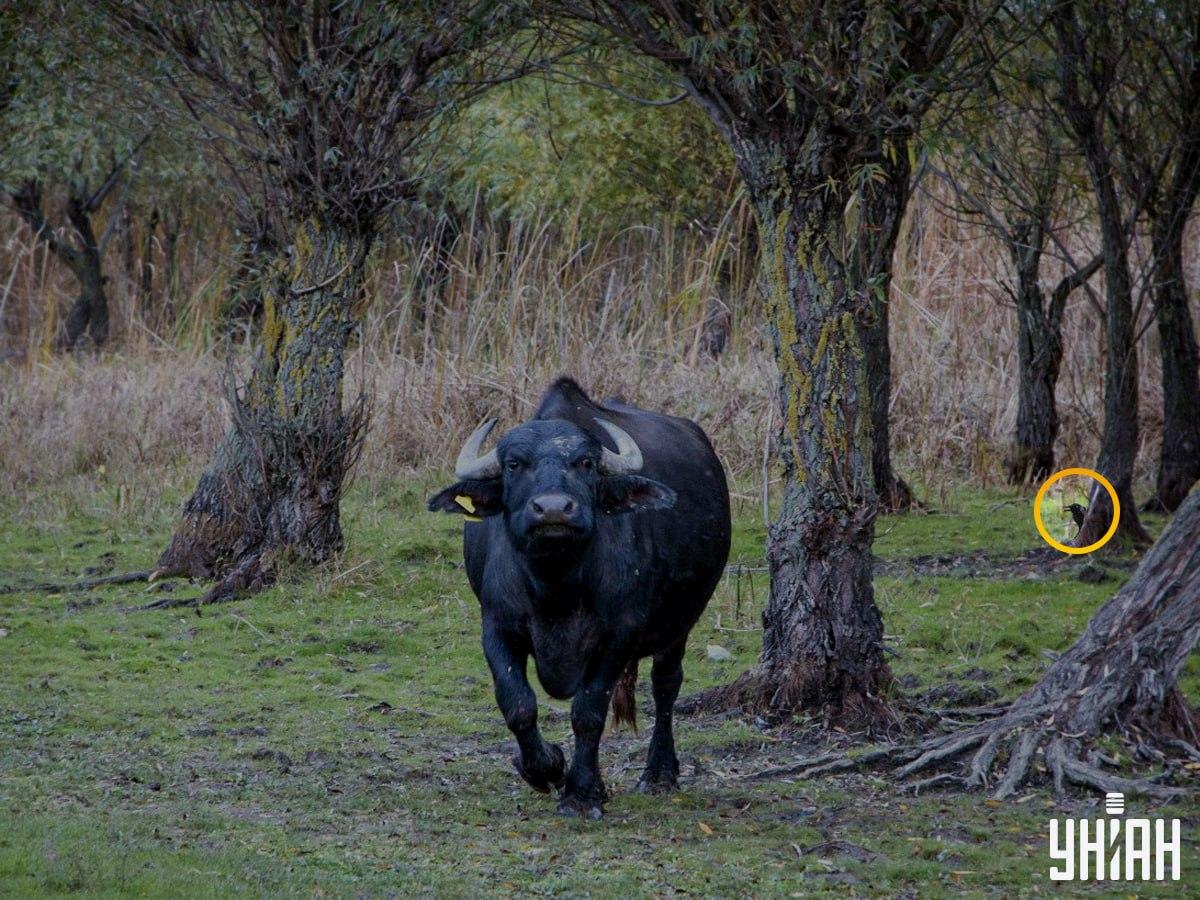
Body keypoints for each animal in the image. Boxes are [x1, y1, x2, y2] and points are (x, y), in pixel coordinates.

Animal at [432, 376, 729, 820]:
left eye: (586, 463)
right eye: (514, 464)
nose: (554, 509)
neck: (557, 585)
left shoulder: (617, 636)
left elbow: (589, 712)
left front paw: (581, 793)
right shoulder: (497, 627)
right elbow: (517, 704)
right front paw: (546, 768)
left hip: (682, 618)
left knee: (666, 685)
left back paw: (659, 772)